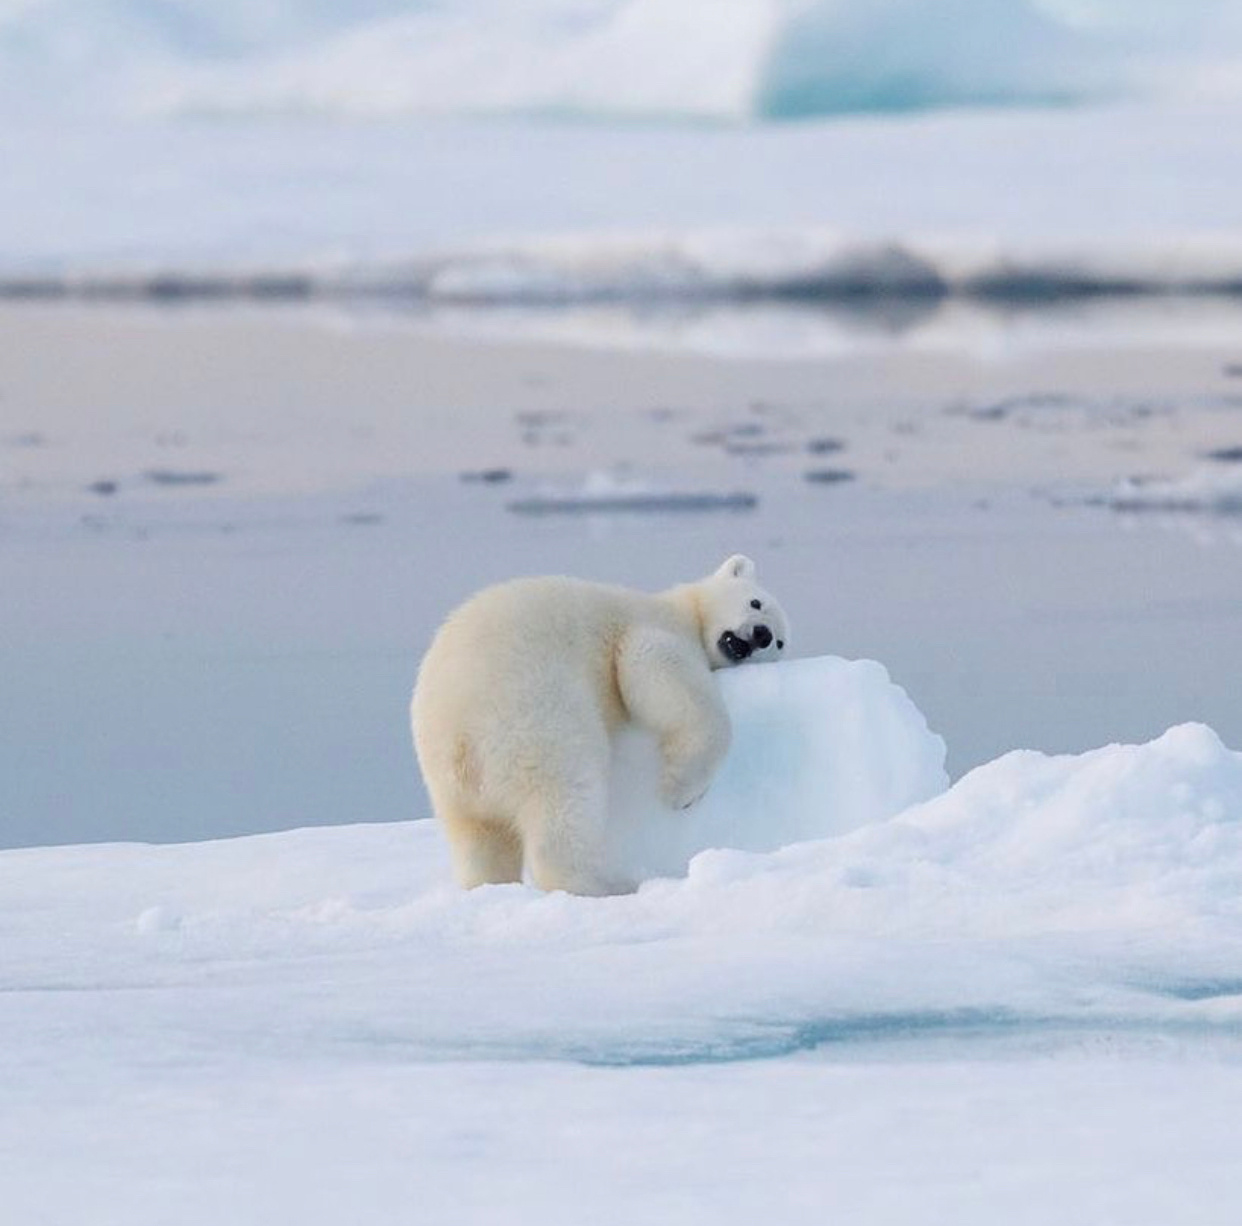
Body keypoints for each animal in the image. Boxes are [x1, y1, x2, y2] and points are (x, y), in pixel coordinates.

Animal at [412, 561, 789, 894]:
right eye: (755, 602)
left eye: (779, 643)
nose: (762, 634)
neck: (681, 608)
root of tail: (461, 743)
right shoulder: (651, 627)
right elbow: (651, 664)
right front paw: (680, 792)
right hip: (536, 720)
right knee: (569, 797)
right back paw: (610, 884)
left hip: (453, 789)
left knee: (479, 838)